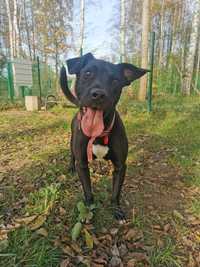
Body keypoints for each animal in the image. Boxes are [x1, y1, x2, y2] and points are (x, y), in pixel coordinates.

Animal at [59, 52, 147, 222]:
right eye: (87, 73)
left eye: (115, 81)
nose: (98, 95)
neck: (98, 133)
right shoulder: (82, 164)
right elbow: (87, 190)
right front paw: (88, 209)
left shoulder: (120, 166)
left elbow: (116, 192)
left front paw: (116, 210)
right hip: (72, 142)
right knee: (72, 155)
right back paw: (71, 167)